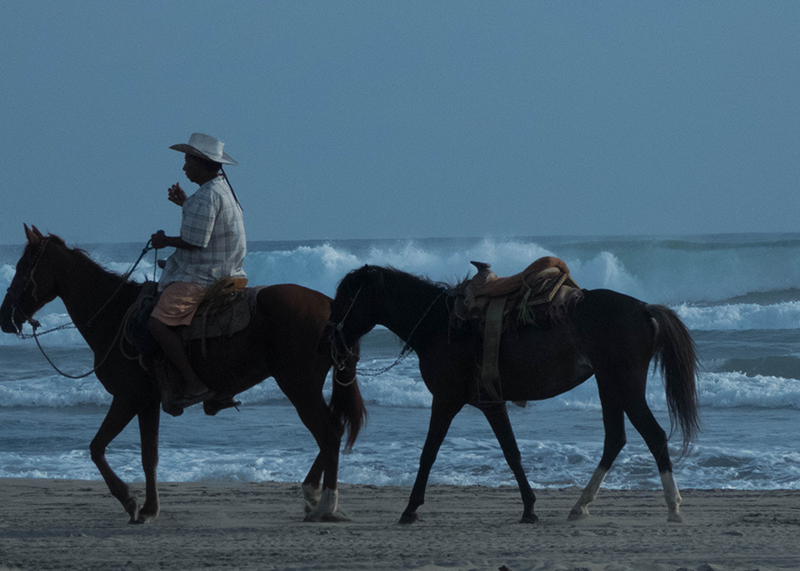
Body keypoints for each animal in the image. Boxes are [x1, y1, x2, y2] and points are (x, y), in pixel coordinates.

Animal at [0, 227, 366, 524]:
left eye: (21, 268)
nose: (5, 317)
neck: (114, 316)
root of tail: (331, 306)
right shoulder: (147, 403)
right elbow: (149, 457)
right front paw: (149, 508)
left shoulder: (128, 398)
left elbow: (97, 448)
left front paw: (130, 501)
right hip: (303, 387)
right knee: (330, 432)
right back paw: (312, 495)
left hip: (298, 385)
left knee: (329, 433)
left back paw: (324, 504)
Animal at [328, 266, 696, 524]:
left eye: (346, 298)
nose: (328, 337)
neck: (439, 327)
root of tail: (644, 308)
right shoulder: (490, 403)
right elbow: (511, 452)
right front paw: (530, 509)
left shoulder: (447, 400)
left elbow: (430, 454)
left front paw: (410, 509)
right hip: (609, 385)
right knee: (615, 438)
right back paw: (580, 507)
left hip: (623, 385)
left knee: (653, 435)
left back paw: (674, 507)